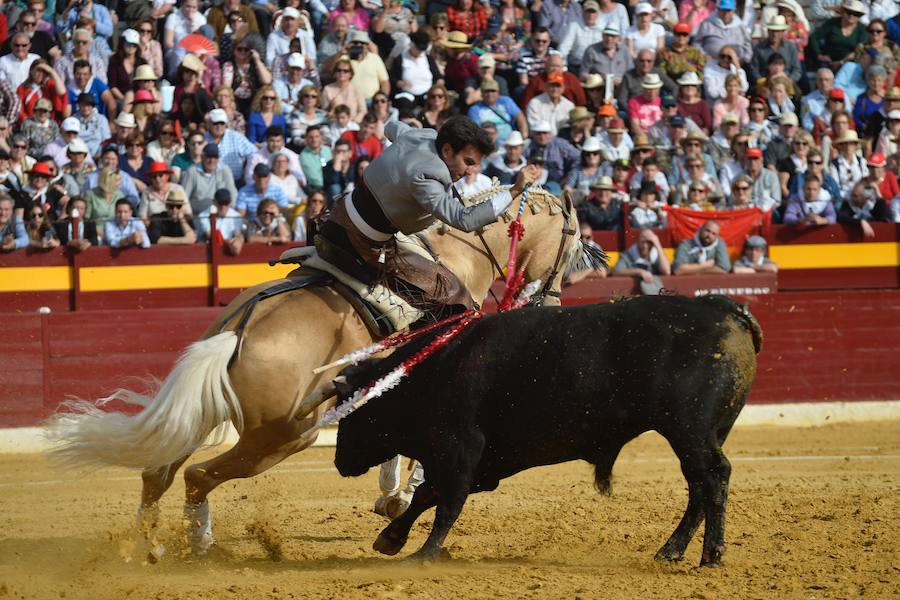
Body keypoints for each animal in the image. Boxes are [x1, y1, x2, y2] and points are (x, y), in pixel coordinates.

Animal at [49, 185, 584, 556]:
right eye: (575, 242)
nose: (554, 300)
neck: (459, 255)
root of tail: (235, 333)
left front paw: (389, 496)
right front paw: (400, 495)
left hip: (204, 413)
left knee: (157, 473)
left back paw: (150, 546)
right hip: (284, 437)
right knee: (198, 476)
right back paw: (200, 544)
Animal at [334, 296, 764, 568]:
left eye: (351, 416)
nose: (339, 463)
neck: (434, 373)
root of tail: (722, 307)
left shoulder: (460, 451)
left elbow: (446, 504)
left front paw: (424, 554)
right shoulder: (482, 465)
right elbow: (427, 494)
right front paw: (390, 539)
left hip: (688, 429)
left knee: (713, 478)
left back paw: (711, 556)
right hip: (704, 433)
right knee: (699, 486)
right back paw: (672, 551)